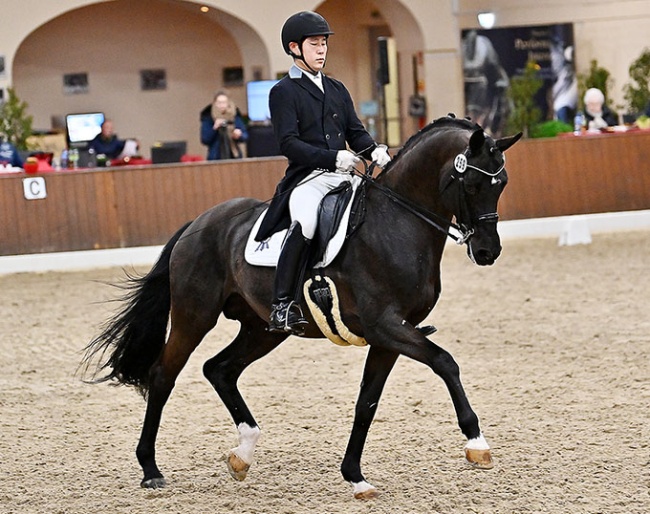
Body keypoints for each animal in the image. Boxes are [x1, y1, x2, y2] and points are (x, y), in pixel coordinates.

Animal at [81, 115, 520, 496]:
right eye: (472, 184)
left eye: (502, 184)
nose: (488, 251)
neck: (395, 223)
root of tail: (198, 223)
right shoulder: (386, 326)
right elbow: (446, 362)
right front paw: (476, 442)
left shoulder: (390, 335)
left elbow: (367, 402)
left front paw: (355, 476)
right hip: (194, 316)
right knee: (163, 376)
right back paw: (150, 469)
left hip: (262, 329)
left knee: (219, 369)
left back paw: (242, 454)